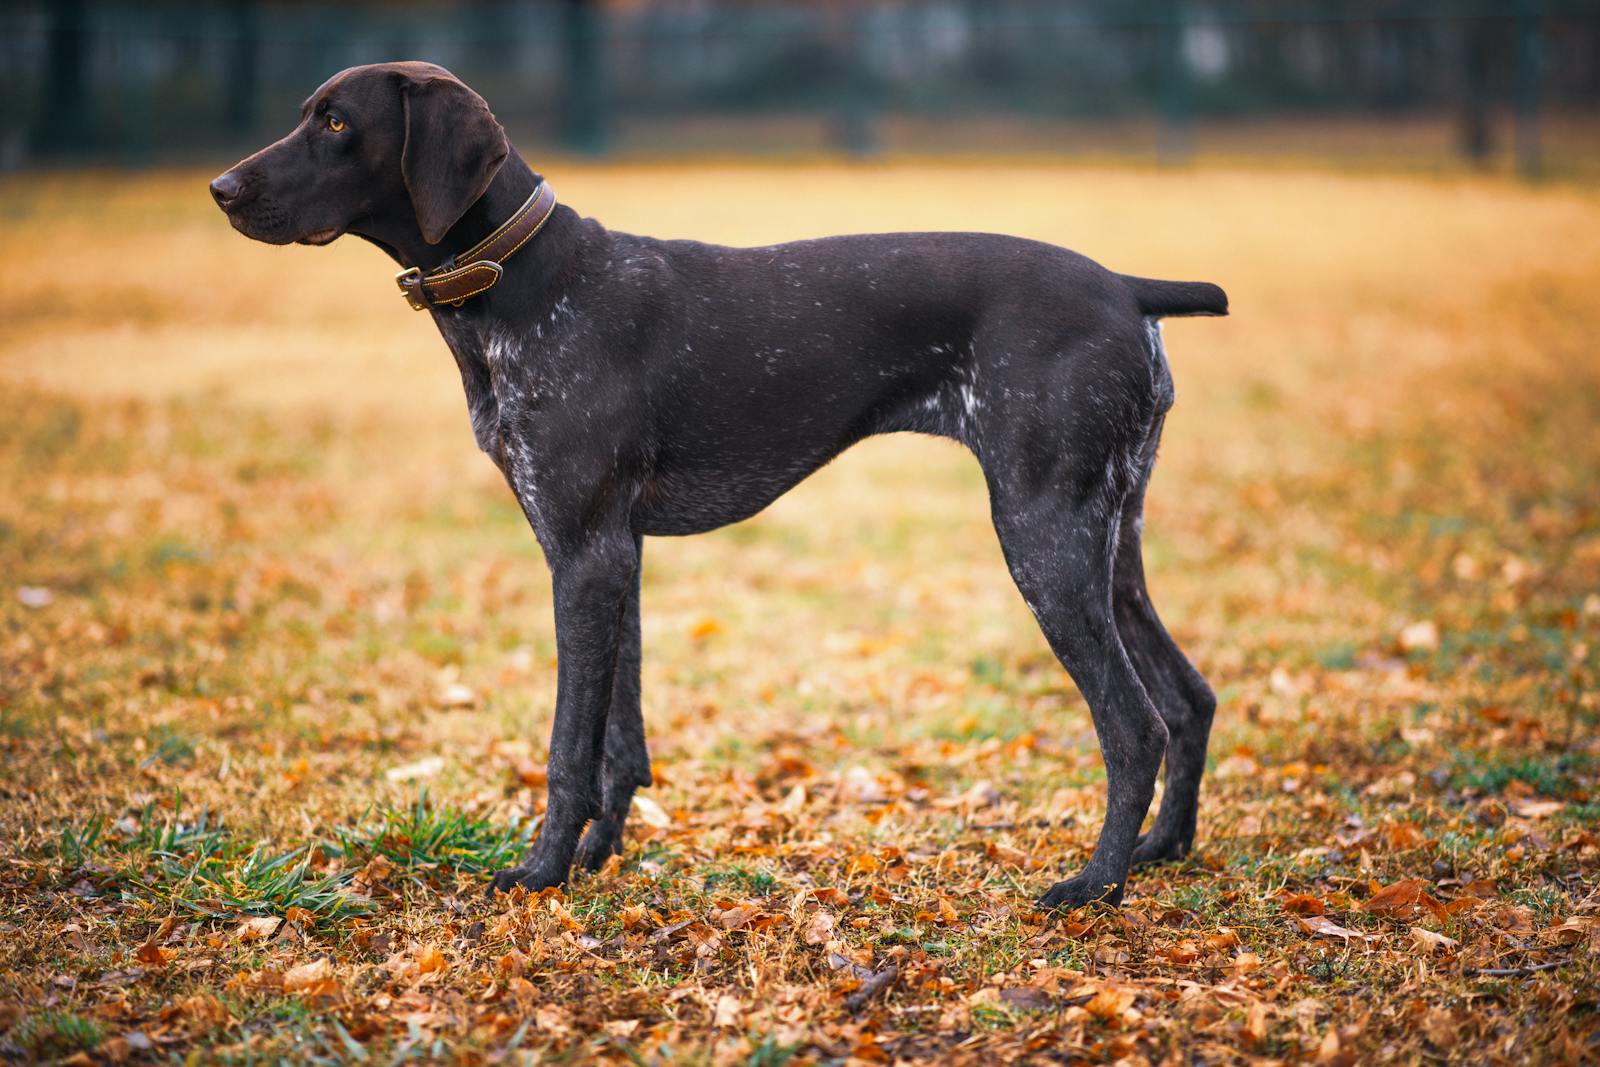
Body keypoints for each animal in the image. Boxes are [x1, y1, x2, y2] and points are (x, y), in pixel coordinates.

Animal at [212, 60, 1222, 908]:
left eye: (336, 121)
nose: (222, 189)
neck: (522, 282)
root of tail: (1127, 289)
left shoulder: (583, 554)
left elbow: (568, 745)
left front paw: (542, 871)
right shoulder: (610, 553)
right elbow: (620, 738)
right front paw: (596, 857)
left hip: (1042, 536)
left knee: (1134, 724)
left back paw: (1095, 882)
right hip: (1105, 542)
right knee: (1189, 698)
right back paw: (1158, 850)